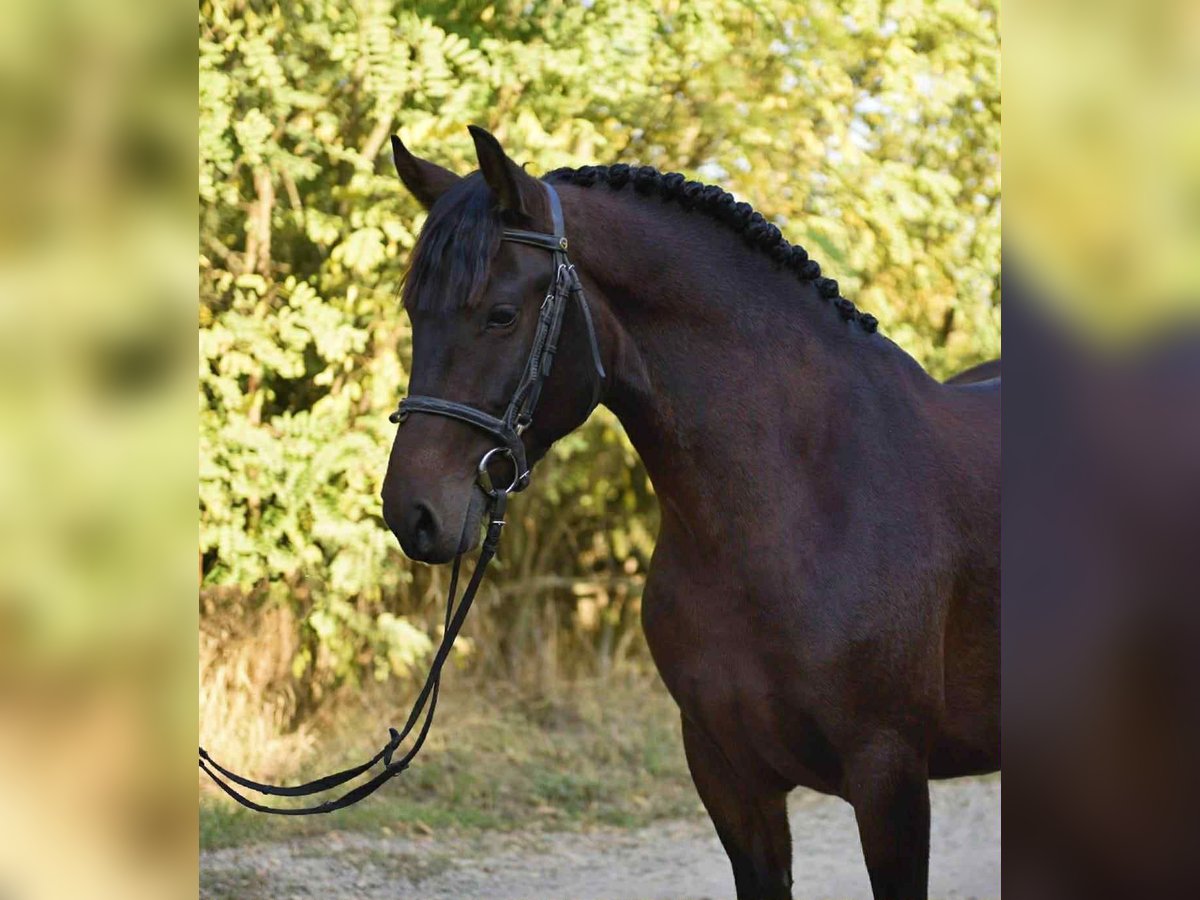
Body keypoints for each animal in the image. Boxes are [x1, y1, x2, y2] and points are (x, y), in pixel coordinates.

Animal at [379, 125, 1000, 900]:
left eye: (500, 314)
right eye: (414, 313)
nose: (412, 510)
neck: (799, 507)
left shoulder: (889, 778)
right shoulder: (728, 775)